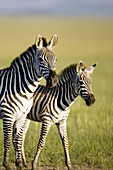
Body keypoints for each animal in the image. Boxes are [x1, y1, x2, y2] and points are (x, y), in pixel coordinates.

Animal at [0, 33, 58, 169]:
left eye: (56, 59)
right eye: (41, 60)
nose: (53, 81)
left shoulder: (22, 115)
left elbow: (18, 140)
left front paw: (19, 164)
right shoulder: (8, 115)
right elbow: (8, 140)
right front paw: (6, 164)